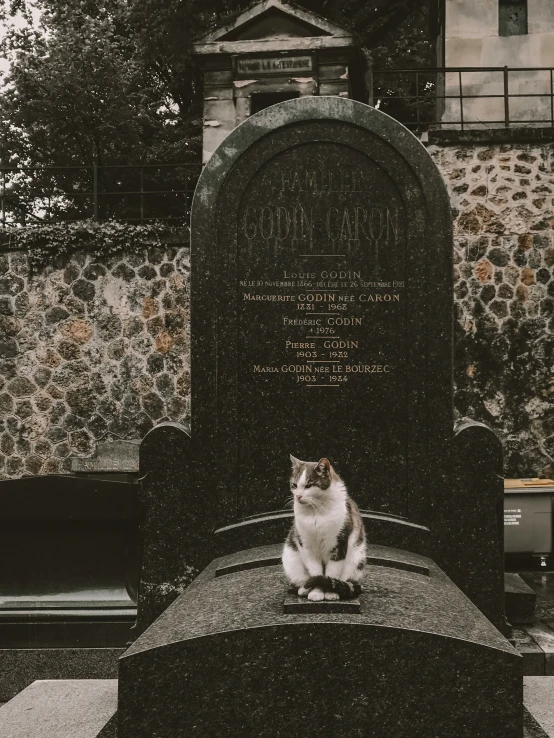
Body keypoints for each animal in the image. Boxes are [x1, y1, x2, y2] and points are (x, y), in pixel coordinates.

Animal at [280, 454, 366, 600]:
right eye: (294, 485)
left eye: (309, 485)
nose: (298, 496)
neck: (317, 511)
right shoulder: (307, 546)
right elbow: (316, 572)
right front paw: (316, 593)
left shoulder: (339, 544)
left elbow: (332, 572)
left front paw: (330, 592)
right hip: (291, 559)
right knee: (302, 580)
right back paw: (304, 589)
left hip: (356, 560)